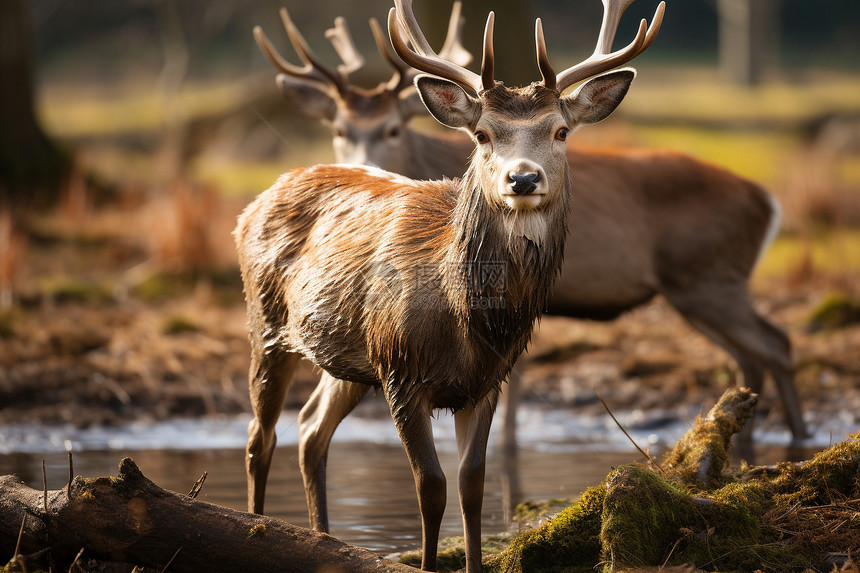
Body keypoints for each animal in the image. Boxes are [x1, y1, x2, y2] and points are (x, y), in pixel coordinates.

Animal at [239, 0, 668, 568]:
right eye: (482, 134)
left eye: (560, 131)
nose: (523, 179)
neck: (468, 318)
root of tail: (255, 201)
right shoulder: (401, 370)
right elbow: (431, 486)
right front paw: (425, 562)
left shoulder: (486, 381)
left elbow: (472, 484)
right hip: (266, 322)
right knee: (259, 437)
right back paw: (255, 526)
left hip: (349, 356)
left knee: (311, 430)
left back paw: (324, 539)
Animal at [254, 0, 808, 464]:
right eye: (339, 130)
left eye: (561, 131)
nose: (522, 179)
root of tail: (768, 200)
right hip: (701, 286)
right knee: (753, 353)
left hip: (708, 276)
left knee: (775, 342)